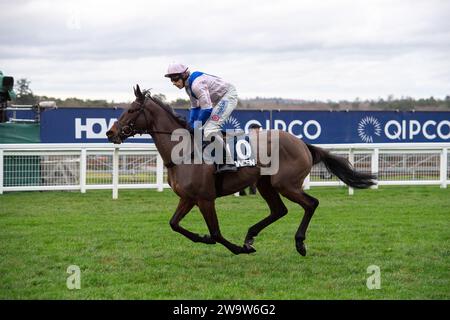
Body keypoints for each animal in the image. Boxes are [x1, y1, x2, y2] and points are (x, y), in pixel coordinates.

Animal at [106, 85, 376, 255]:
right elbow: (174, 224)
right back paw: (250, 236)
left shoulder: (205, 198)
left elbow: (216, 232)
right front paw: (206, 238)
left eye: (131, 110)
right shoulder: (188, 197)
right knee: (279, 210)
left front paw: (234, 248)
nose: (110, 132)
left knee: (311, 203)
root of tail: (302, 143)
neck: (183, 152)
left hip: (286, 184)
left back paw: (298, 244)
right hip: (267, 184)